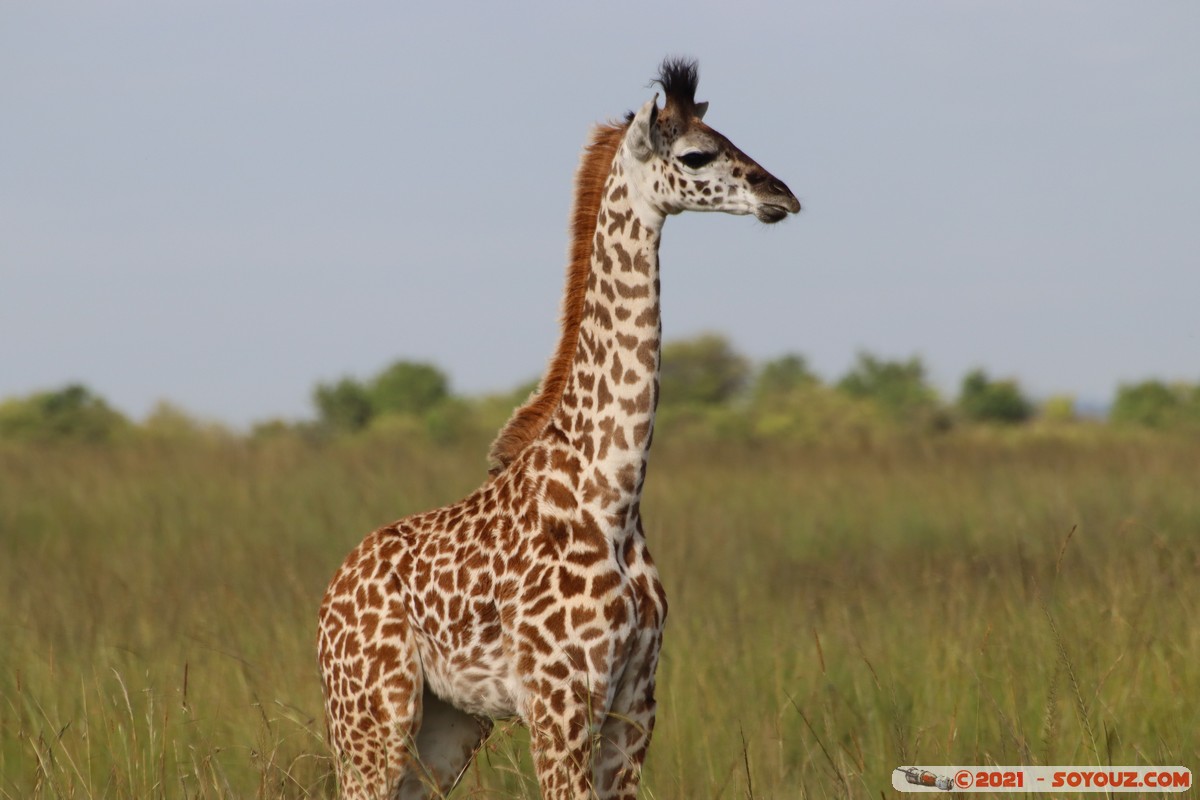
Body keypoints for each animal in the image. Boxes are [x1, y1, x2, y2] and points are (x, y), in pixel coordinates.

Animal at [319, 57, 801, 800]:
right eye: (697, 154)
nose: (783, 195)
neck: (615, 491)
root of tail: (330, 594)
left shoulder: (637, 702)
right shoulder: (559, 703)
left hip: (447, 725)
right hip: (371, 717)